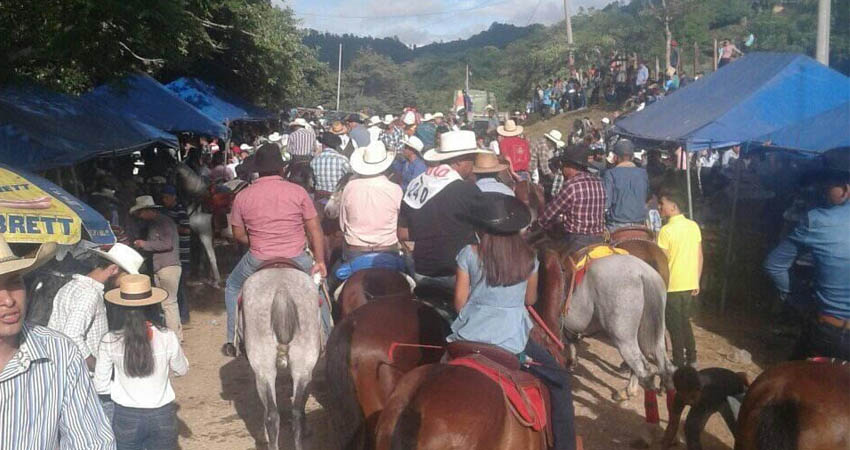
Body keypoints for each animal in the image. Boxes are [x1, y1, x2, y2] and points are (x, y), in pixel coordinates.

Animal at [536, 248, 668, 400]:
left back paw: (629, 391)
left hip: (623, 338)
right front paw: (572, 361)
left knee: (643, 368)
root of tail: (643, 273)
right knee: (661, 361)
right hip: (654, 333)